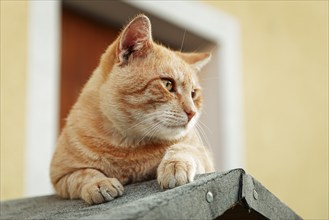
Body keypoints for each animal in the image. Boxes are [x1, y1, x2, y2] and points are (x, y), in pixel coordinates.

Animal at [50, 14, 214, 205]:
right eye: (168, 84)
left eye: (193, 94)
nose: (192, 113)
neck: (129, 146)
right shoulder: (61, 175)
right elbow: (84, 174)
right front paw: (99, 183)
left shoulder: (205, 157)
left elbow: (184, 148)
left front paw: (174, 165)